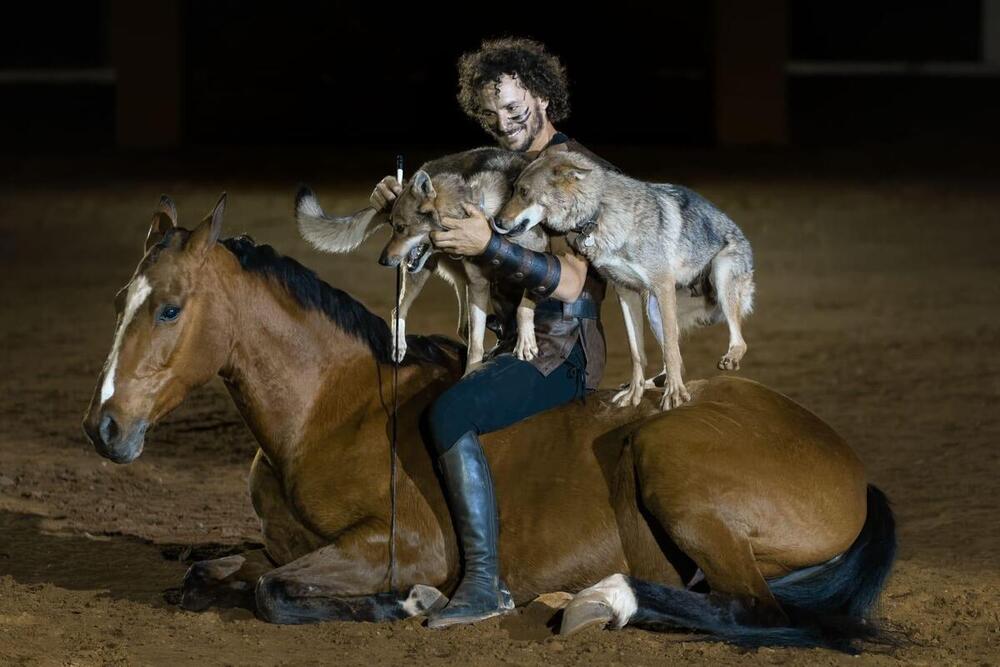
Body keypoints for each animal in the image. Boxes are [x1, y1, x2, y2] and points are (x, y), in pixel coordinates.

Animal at [84, 194, 900, 652]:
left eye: (169, 308)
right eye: (121, 299)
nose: (104, 428)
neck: (328, 409)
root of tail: (850, 464)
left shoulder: (395, 544)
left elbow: (272, 592)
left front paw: (404, 602)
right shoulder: (282, 543)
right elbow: (214, 571)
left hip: (671, 460)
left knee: (753, 609)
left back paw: (603, 600)